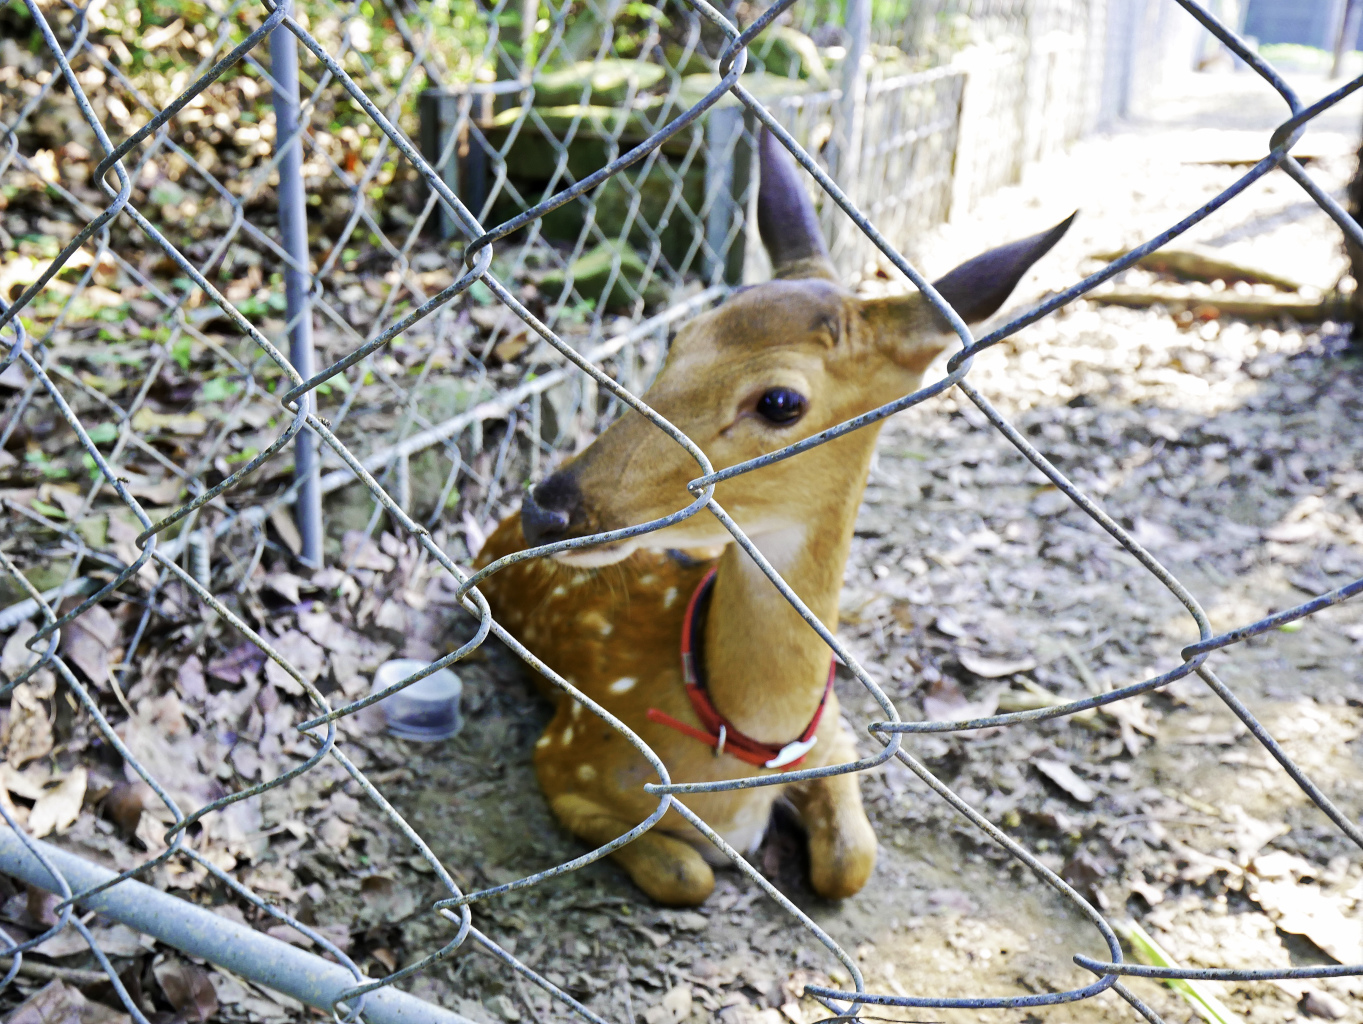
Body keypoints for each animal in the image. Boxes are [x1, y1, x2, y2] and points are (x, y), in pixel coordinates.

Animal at [471, 128, 1074, 905]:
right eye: (678, 339)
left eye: (780, 402)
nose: (546, 507)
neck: (747, 742)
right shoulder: (562, 758)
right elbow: (689, 873)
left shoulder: (838, 734)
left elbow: (851, 861)